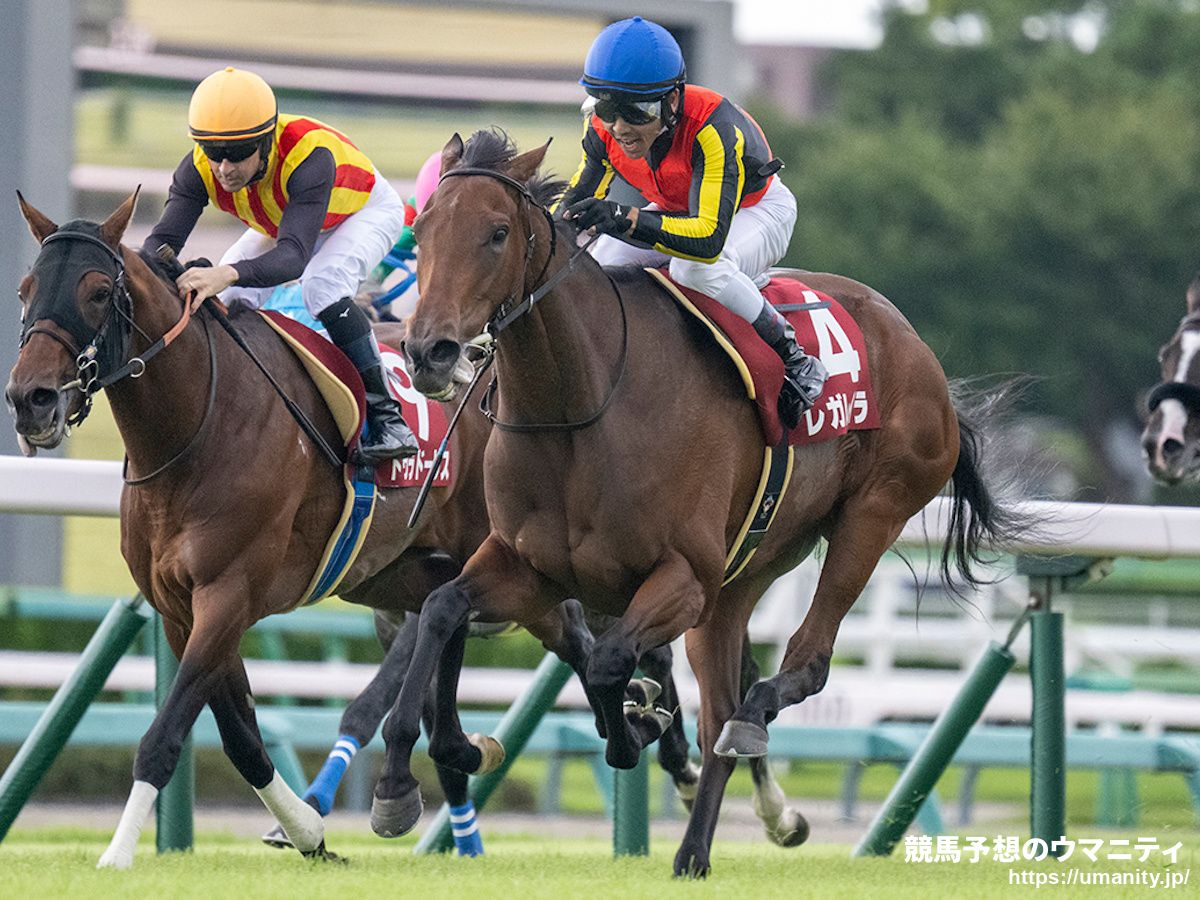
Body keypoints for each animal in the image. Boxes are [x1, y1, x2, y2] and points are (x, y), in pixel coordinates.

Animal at [380, 129, 1030, 877]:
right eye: (424, 229)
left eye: (497, 233)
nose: (429, 351)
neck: (583, 404)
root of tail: (919, 350)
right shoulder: (528, 566)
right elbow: (442, 608)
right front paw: (406, 778)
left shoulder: (681, 577)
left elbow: (608, 663)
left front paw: (635, 726)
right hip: (746, 571)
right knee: (720, 708)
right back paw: (694, 850)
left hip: (871, 515)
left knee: (798, 667)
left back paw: (749, 729)